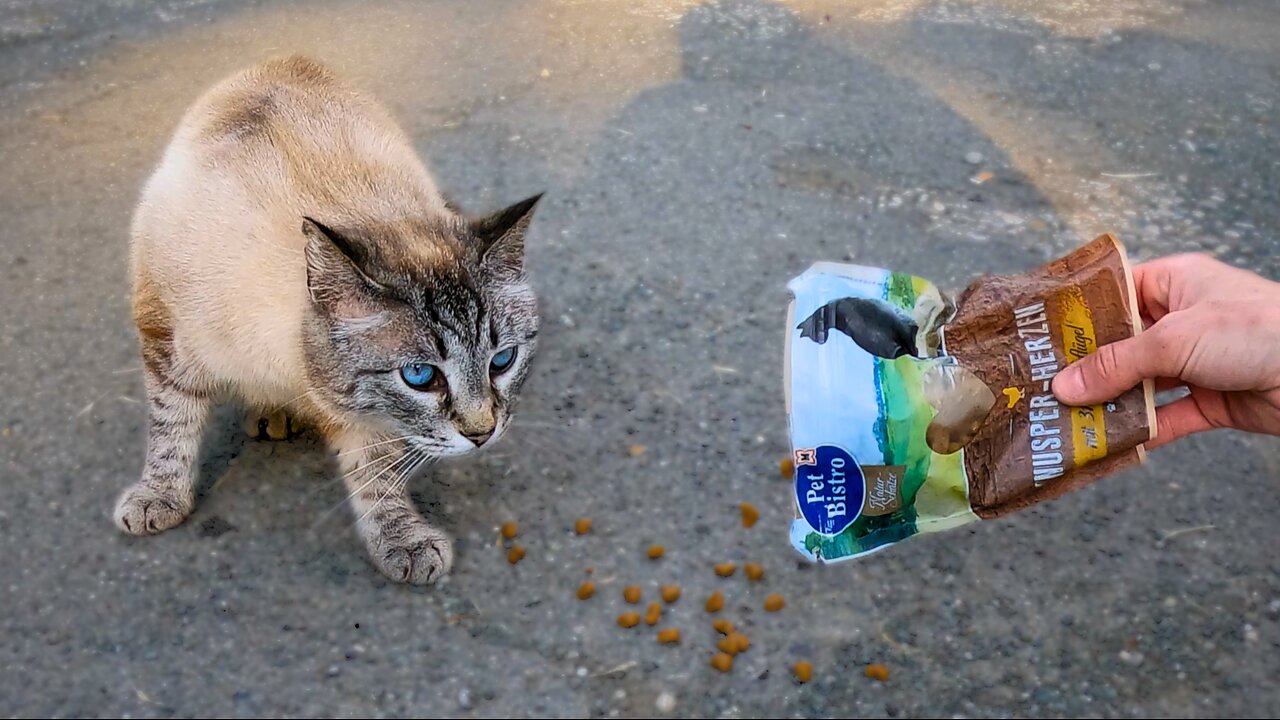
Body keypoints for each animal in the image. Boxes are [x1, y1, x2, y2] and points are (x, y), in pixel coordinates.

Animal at [116, 57, 540, 584]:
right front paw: (159, 497)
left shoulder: (367, 414)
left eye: (502, 361)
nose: (483, 435)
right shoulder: (166, 341)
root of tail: (282, 59)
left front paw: (401, 541)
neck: (293, 367)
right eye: (421, 376)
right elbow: (171, 427)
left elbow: (377, 475)